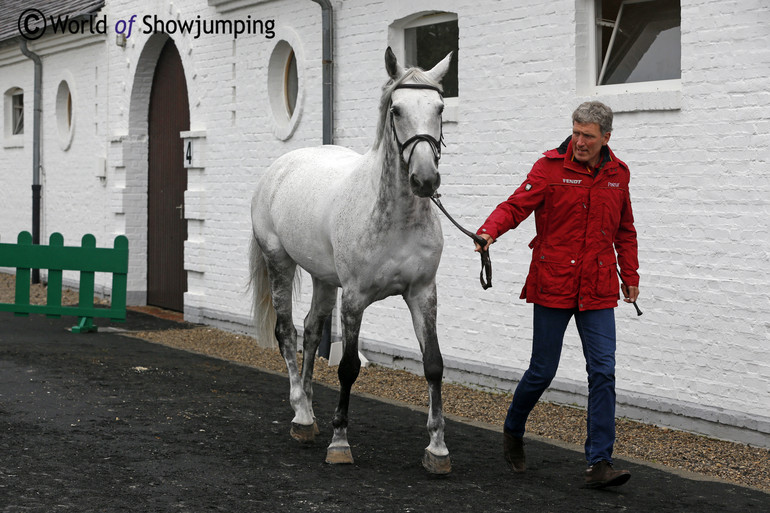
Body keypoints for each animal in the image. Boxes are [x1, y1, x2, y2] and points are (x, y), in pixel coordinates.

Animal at [246, 47, 450, 472]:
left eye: (439, 107)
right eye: (396, 110)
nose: (425, 180)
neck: (396, 220)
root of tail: (279, 168)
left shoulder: (423, 294)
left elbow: (433, 364)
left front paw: (437, 448)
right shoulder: (354, 298)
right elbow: (348, 367)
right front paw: (340, 442)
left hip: (324, 279)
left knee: (310, 329)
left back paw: (308, 412)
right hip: (279, 262)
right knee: (287, 332)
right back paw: (300, 413)